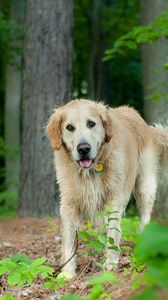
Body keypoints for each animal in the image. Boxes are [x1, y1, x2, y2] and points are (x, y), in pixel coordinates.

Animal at [46, 99, 165, 276]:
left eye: (91, 123)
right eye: (69, 127)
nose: (83, 149)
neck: (90, 171)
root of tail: (134, 113)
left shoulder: (114, 198)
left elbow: (113, 233)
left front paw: (110, 262)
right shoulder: (68, 203)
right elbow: (68, 239)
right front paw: (67, 273)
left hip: (145, 186)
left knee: (145, 216)